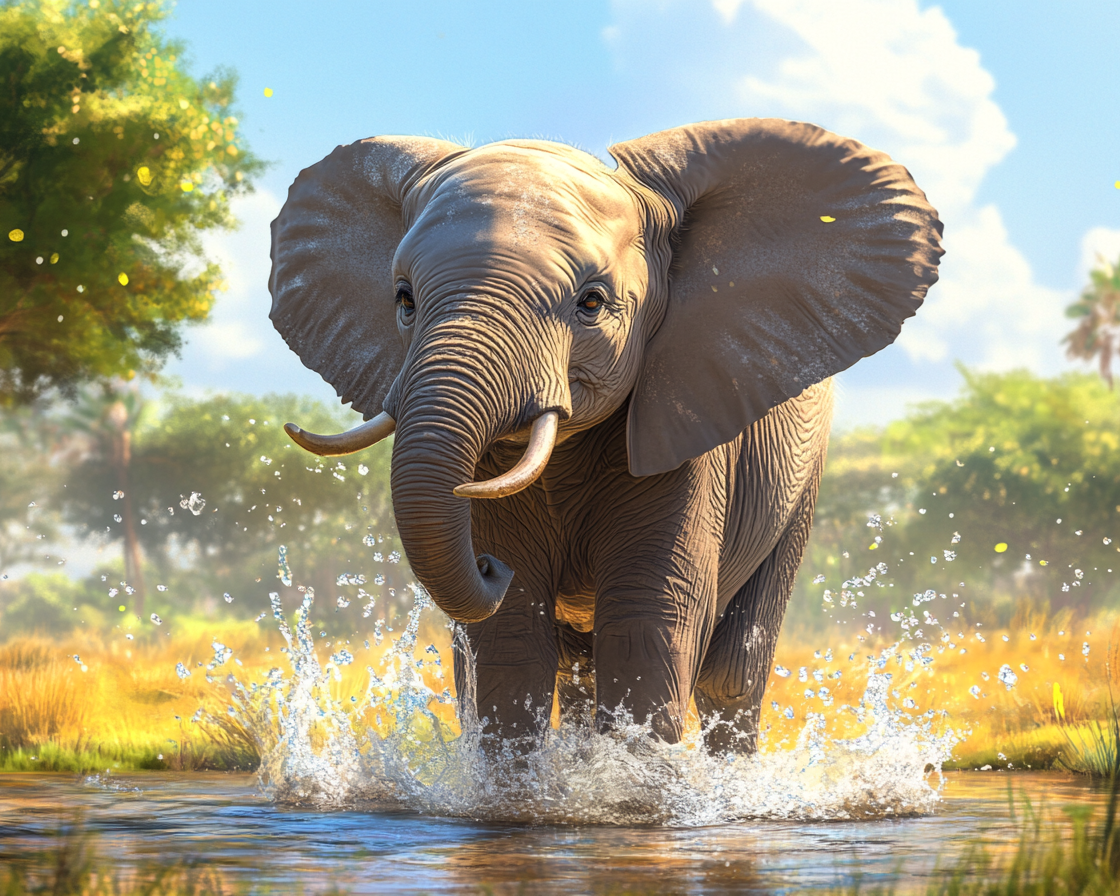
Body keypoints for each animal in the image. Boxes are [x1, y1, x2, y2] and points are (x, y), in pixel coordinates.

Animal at [267, 118, 943, 754]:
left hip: (798, 484)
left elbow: (649, 621)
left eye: (591, 303)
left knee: (731, 678)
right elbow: (511, 634)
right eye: (404, 301)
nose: (487, 564)